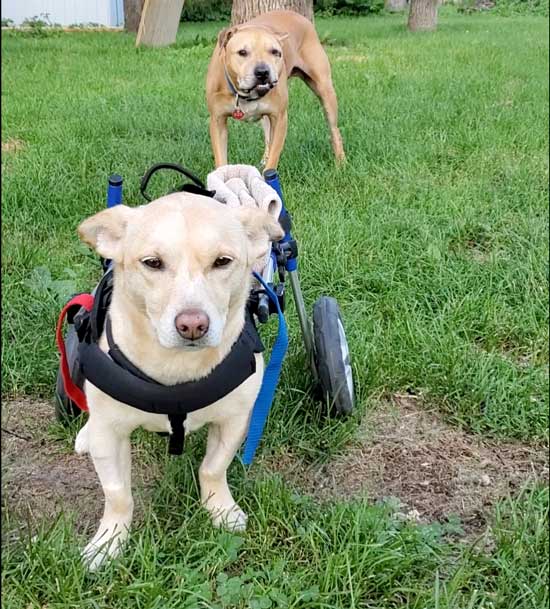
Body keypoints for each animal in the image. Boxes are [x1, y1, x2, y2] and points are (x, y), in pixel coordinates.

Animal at [75, 192, 282, 568]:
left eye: (222, 261)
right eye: (152, 263)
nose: (192, 325)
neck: (175, 367)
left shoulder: (234, 421)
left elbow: (213, 469)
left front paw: (221, 510)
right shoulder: (110, 435)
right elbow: (118, 494)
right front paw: (108, 543)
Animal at [207, 9, 344, 170]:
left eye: (275, 52)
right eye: (242, 52)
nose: (262, 72)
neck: (245, 93)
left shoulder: (279, 119)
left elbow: (273, 158)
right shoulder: (217, 121)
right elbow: (221, 160)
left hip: (325, 91)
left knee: (334, 130)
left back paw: (341, 162)